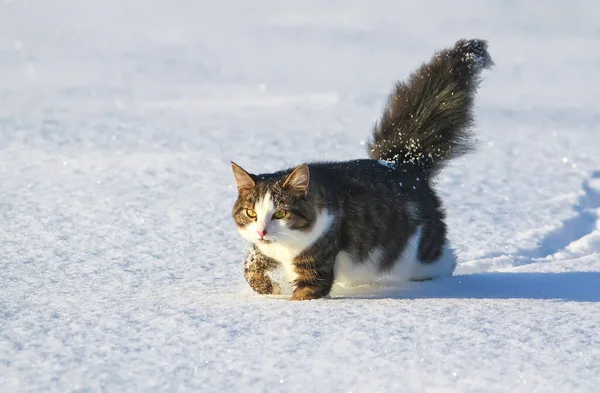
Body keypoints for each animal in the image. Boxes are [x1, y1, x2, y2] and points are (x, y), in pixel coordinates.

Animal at [230, 38, 492, 298]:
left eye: (281, 213)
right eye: (251, 213)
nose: (262, 231)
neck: (284, 248)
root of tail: (404, 162)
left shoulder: (318, 260)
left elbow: (305, 293)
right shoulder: (265, 251)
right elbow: (250, 267)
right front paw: (270, 289)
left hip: (417, 252)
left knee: (443, 259)